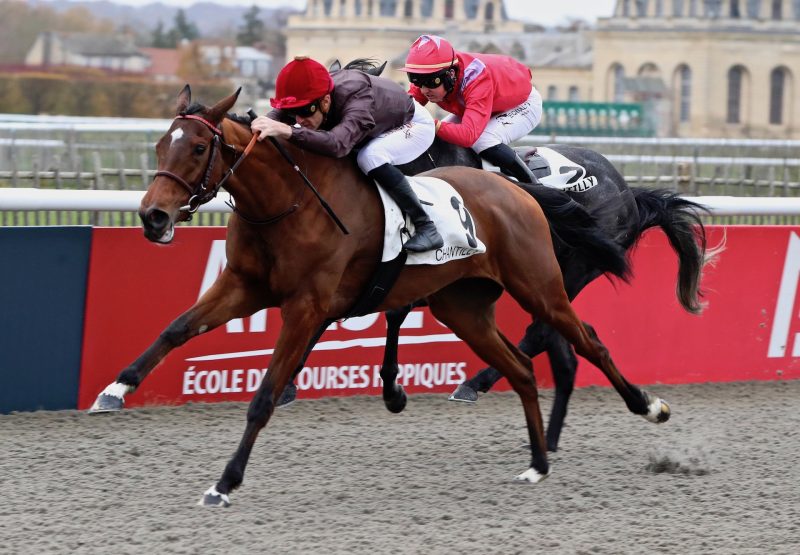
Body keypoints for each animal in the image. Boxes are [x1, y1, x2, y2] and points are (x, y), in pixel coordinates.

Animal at [90, 88, 672, 508]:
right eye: (160, 145)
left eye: (196, 147)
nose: (153, 217)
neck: (290, 202)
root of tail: (522, 190)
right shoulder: (243, 286)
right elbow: (177, 328)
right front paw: (115, 389)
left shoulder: (306, 306)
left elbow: (264, 396)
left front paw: (225, 482)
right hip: (462, 307)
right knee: (527, 367)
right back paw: (536, 461)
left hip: (542, 286)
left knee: (587, 342)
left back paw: (648, 406)